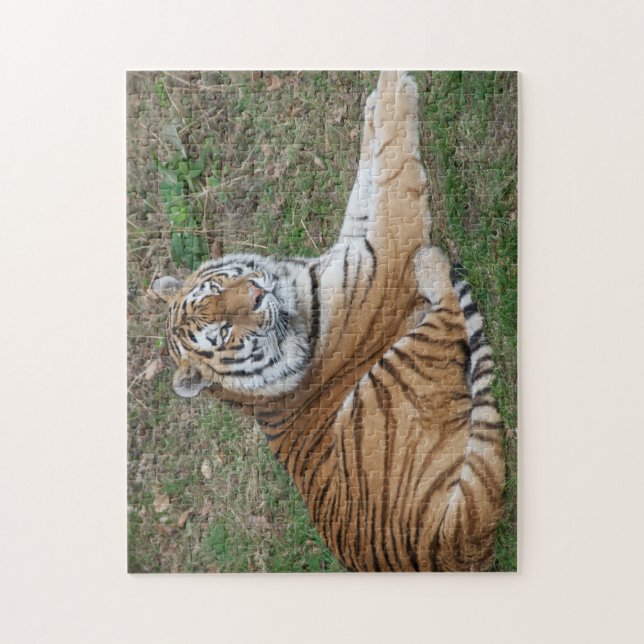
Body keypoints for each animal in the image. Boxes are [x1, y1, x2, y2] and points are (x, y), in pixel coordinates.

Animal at [152, 71, 505, 572]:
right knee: (451, 313)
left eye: (219, 292)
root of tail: (457, 543)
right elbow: (395, 170)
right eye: (222, 330)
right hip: (384, 382)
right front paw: (396, 90)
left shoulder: (355, 241)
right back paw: (433, 264)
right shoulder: (385, 257)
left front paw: (377, 102)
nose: (258, 293)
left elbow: (368, 173)